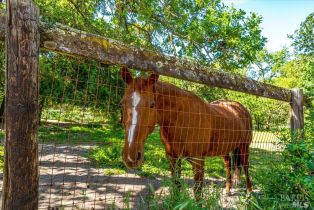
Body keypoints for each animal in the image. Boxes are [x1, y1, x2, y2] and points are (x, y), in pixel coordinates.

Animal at [120, 66, 253, 196]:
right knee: (228, 165)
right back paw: (228, 190)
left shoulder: (198, 161)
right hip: (225, 148)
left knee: (245, 166)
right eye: (122, 103)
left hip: (244, 147)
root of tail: (240, 108)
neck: (181, 119)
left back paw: (249, 193)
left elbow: (197, 192)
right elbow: (176, 186)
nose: (131, 156)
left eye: (152, 105)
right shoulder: (173, 159)